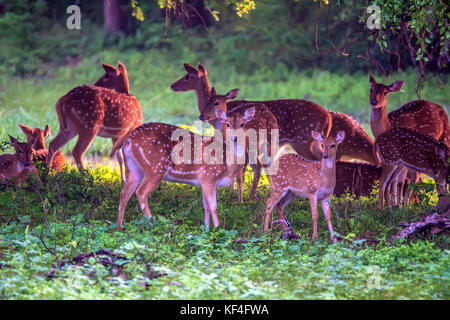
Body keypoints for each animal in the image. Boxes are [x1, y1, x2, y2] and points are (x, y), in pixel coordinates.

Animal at [107, 89, 258, 231]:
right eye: (227, 124)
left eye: (242, 124)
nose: (235, 138)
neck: (227, 163)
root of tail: (129, 138)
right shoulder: (208, 175)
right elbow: (213, 207)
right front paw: (217, 229)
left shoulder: (204, 180)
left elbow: (206, 207)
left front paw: (206, 230)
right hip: (155, 166)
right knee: (141, 192)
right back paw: (153, 222)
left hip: (133, 168)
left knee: (124, 193)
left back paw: (119, 227)